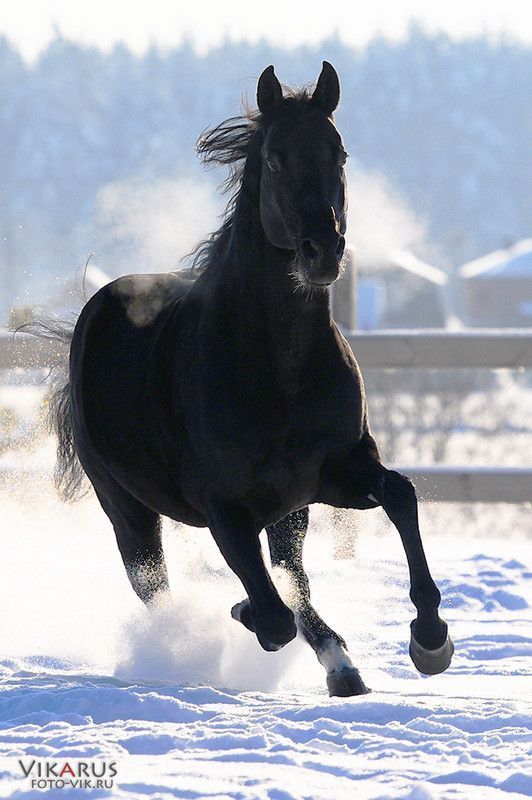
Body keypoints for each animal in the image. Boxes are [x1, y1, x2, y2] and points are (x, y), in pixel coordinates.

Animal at [48, 64, 454, 692]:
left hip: (289, 509)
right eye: (275, 159)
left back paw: (343, 667)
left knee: (292, 571)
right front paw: (245, 612)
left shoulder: (335, 474)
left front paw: (431, 638)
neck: (278, 370)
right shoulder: (225, 510)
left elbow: (401, 496)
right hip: (127, 510)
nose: (322, 252)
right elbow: (271, 612)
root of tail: (91, 315)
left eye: (339, 153)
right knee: (160, 590)